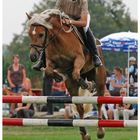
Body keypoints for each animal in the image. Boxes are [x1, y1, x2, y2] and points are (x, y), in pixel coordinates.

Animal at [26, 9, 106, 139]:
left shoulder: (79, 59)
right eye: (29, 34)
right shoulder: (51, 62)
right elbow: (49, 71)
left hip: (100, 79)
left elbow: (76, 73)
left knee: (99, 101)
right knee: (80, 107)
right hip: (71, 85)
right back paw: (84, 133)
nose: (33, 56)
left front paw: (86, 84)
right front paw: (58, 77)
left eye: (41, 34)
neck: (58, 40)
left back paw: (100, 131)